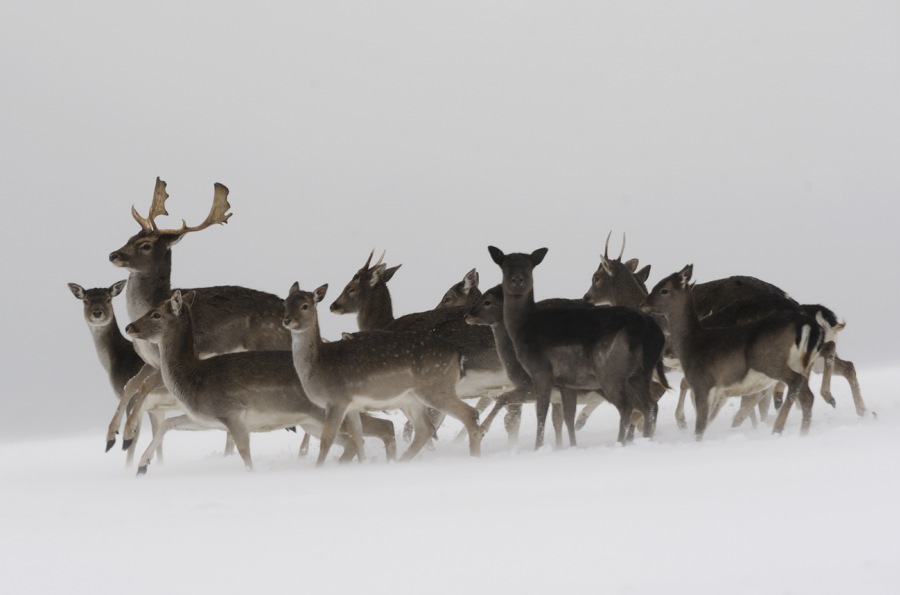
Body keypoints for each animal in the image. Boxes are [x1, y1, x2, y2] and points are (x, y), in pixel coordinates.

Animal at [108, 178, 297, 454]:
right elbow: (130, 384)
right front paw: (111, 436)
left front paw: (128, 435)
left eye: (146, 245)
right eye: (130, 236)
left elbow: (142, 387)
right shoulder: (150, 362)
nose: (113, 255)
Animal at [124, 290, 396, 474]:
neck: (193, 378)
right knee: (353, 441)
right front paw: (141, 465)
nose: (129, 327)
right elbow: (166, 423)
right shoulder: (205, 418)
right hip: (311, 422)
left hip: (327, 411)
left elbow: (245, 452)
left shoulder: (231, 412)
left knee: (382, 426)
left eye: (156, 314)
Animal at [284, 283, 482, 465]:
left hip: (436, 387)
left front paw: (318, 468)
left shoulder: (337, 400)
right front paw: (363, 464)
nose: (287, 320)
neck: (318, 366)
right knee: (425, 429)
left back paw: (474, 457)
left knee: (469, 414)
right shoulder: (352, 405)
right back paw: (400, 461)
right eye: (285, 303)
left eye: (305, 306)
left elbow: (327, 439)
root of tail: (457, 354)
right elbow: (357, 437)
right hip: (412, 399)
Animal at [488, 246, 668, 448]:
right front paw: (570, 446)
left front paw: (538, 447)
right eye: (504, 266)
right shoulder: (566, 381)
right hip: (640, 373)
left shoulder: (540, 370)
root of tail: (651, 332)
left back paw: (620, 442)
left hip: (611, 372)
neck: (523, 326)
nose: (517, 280)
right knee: (649, 406)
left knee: (627, 406)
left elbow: (541, 412)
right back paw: (645, 439)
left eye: (529, 265)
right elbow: (567, 415)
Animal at [643, 265, 824, 438]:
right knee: (801, 394)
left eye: (664, 289)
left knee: (780, 388)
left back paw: (768, 427)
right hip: (797, 364)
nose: (643, 305)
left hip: (770, 363)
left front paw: (686, 423)